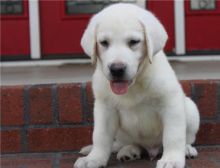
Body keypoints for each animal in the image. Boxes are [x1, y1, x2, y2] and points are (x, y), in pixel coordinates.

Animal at [74, 2, 199, 168]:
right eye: (104, 43)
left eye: (133, 42)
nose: (117, 69)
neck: (134, 84)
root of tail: (152, 149)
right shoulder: (104, 108)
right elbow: (100, 136)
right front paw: (94, 158)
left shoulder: (170, 102)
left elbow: (173, 135)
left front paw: (171, 160)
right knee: (132, 143)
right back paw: (128, 151)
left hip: (190, 109)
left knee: (187, 138)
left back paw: (186, 149)